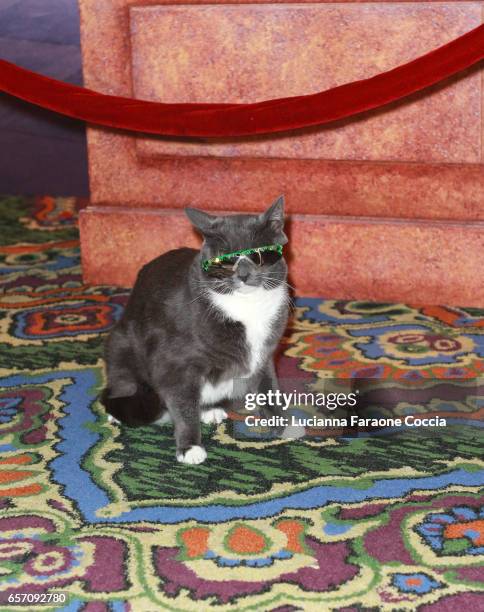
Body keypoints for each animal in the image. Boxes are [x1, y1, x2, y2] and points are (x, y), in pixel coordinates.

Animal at [101, 196, 290, 464]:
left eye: (259, 255)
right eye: (224, 259)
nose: (243, 273)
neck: (246, 308)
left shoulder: (264, 354)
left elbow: (269, 387)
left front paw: (281, 422)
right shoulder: (174, 361)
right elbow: (183, 405)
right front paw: (190, 446)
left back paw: (211, 410)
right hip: (120, 344)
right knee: (123, 382)